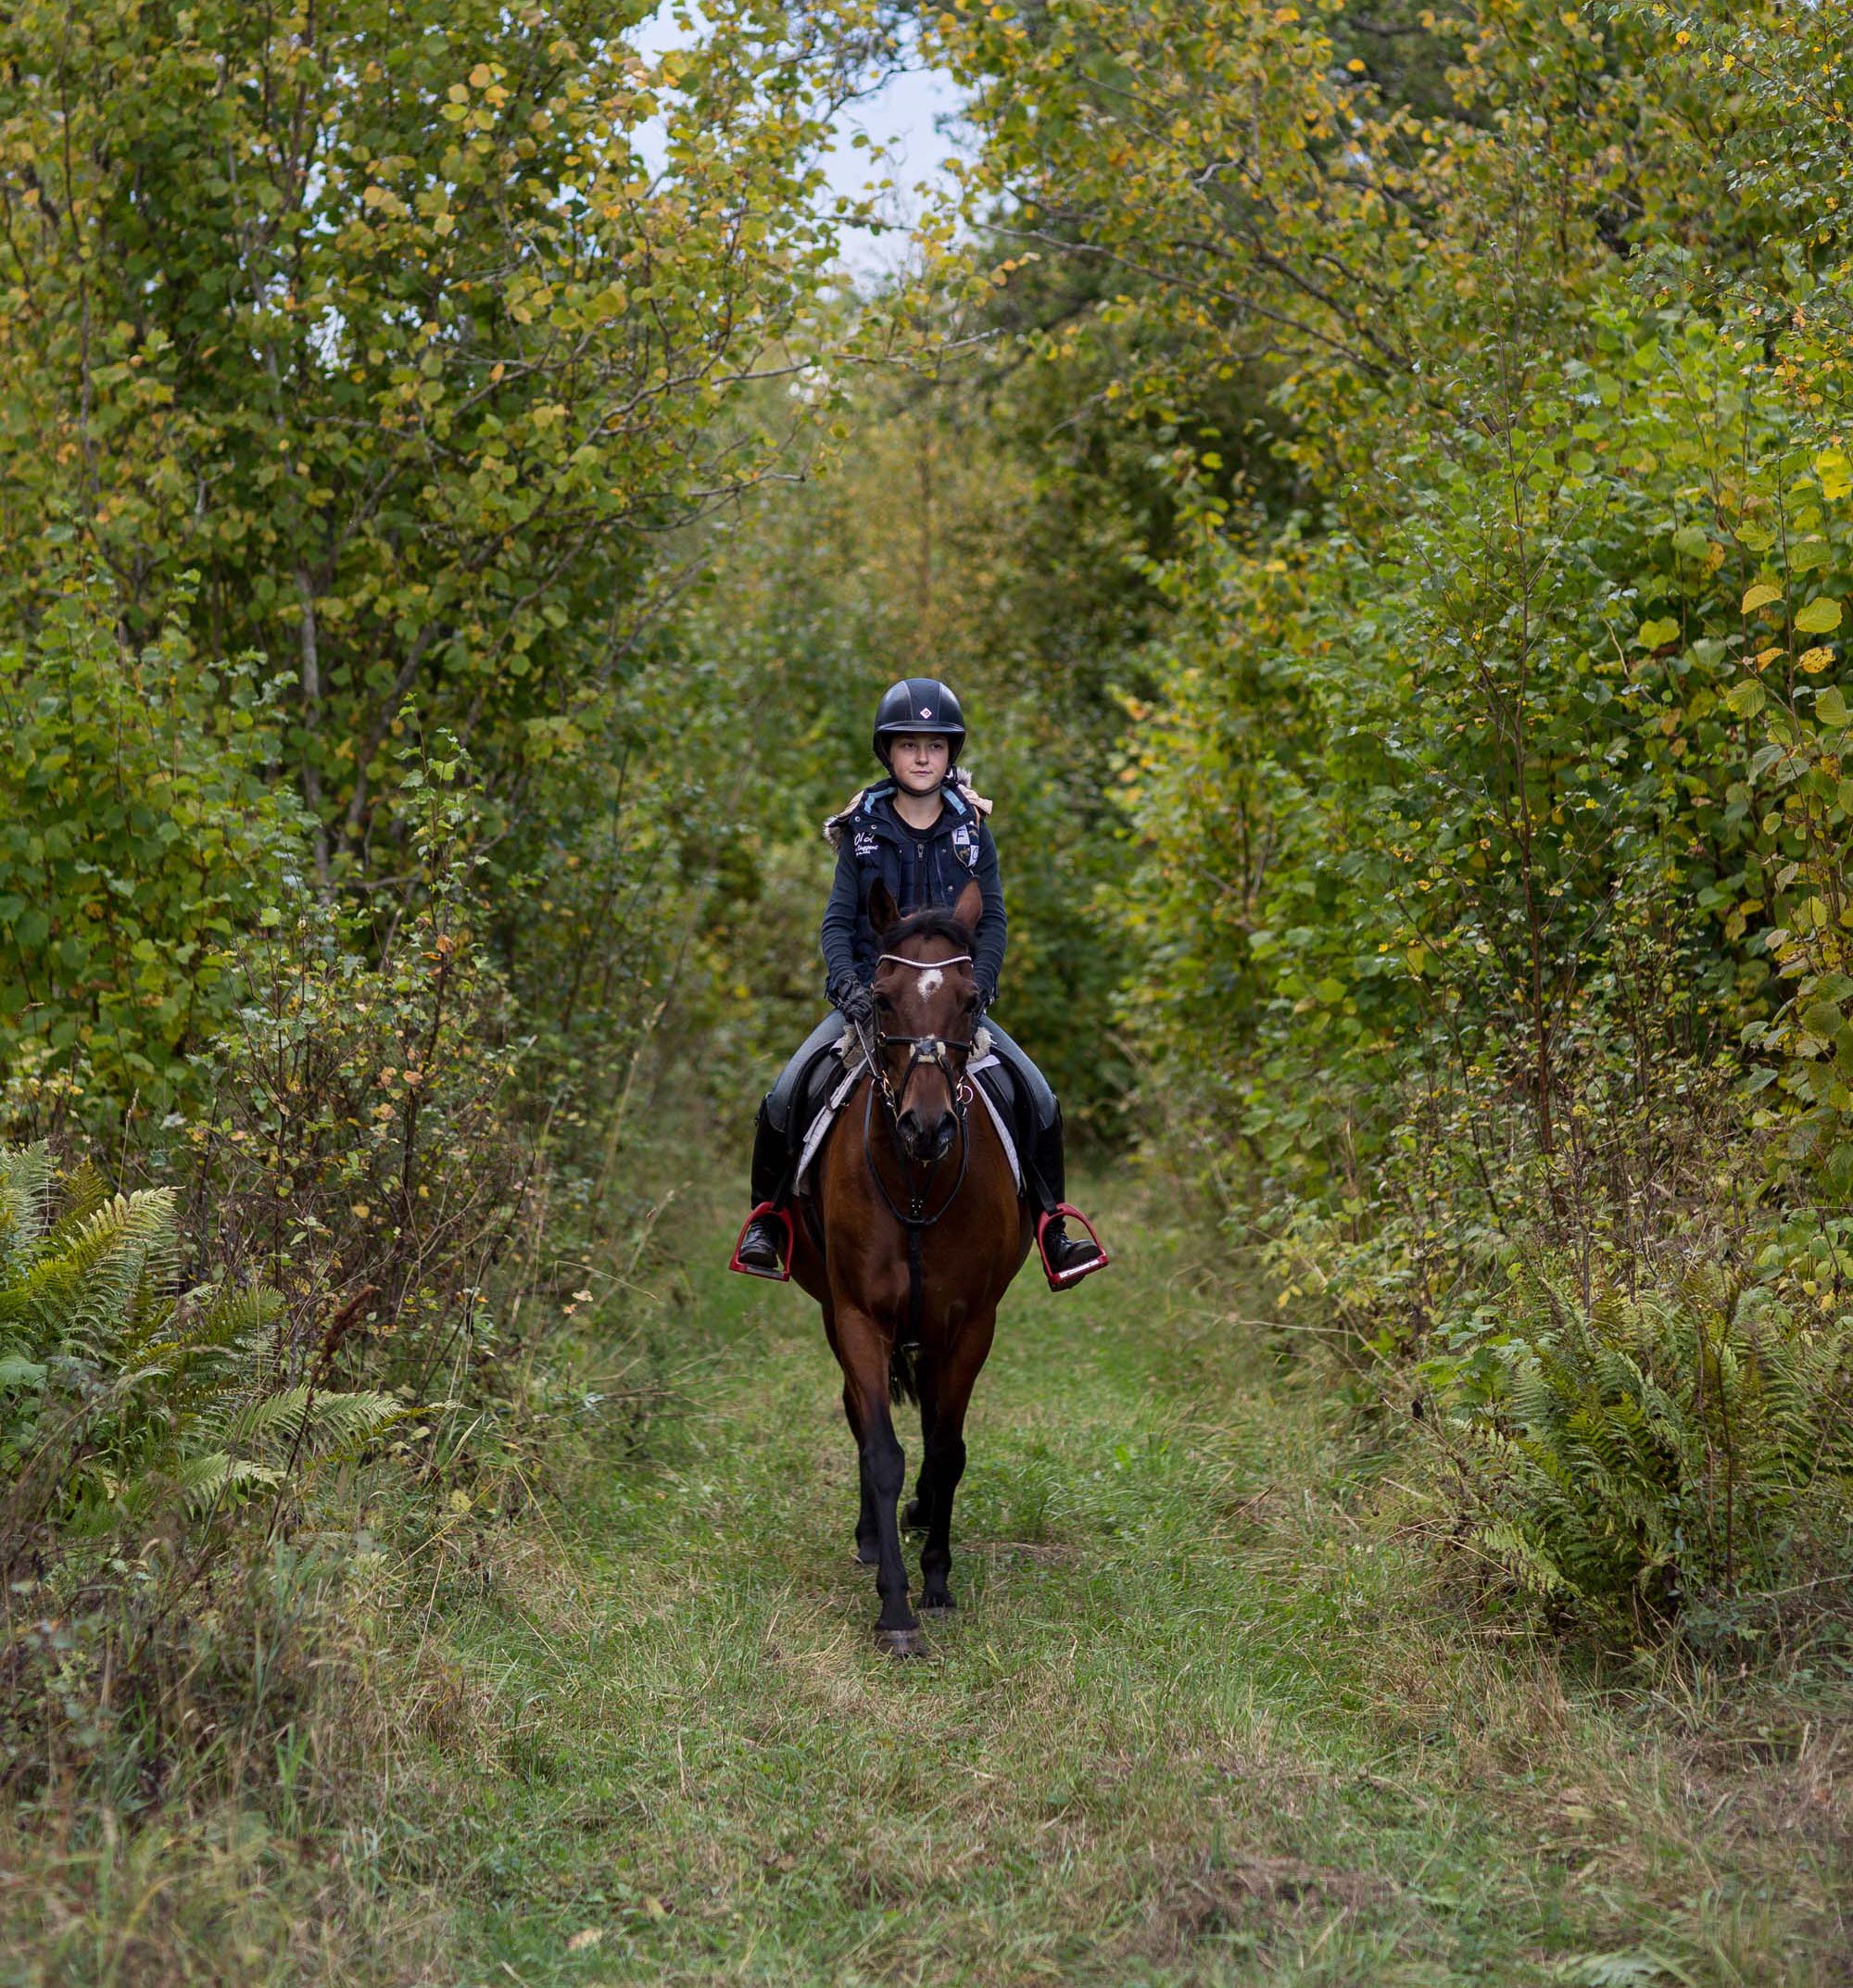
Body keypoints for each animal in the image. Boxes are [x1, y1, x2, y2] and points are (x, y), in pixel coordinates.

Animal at [788, 875, 1031, 1655]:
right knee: (861, 1414)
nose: (927, 1128)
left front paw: (938, 1580)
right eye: (883, 997)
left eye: (970, 999)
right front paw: (895, 1608)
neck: (920, 1182)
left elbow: (947, 1448)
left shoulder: (971, 1323)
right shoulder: (859, 1315)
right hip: (836, 1313)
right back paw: (874, 1535)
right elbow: (881, 1450)